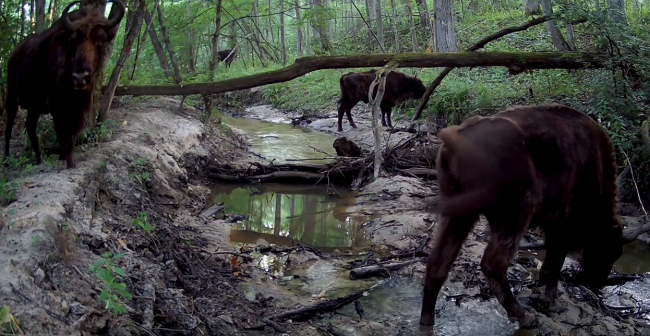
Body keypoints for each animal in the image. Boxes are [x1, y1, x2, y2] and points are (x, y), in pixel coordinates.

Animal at [2, 0, 124, 168]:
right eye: (72, 43)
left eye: (100, 42)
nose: (80, 77)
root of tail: (14, 54)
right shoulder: (57, 105)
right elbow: (64, 136)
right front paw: (69, 163)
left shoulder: (79, 106)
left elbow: (71, 132)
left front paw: (64, 158)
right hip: (12, 97)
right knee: (8, 127)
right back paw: (6, 160)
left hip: (34, 106)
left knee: (30, 126)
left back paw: (40, 159)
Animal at [418, 104, 648, 328]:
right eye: (608, 250)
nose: (595, 282)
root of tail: (457, 140)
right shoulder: (564, 220)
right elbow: (556, 259)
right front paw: (551, 299)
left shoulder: (553, 222)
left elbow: (551, 259)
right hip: (514, 214)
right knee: (493, 264)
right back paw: (524, 317)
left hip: (459, 213)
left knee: (438, 263)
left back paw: (427, 320)